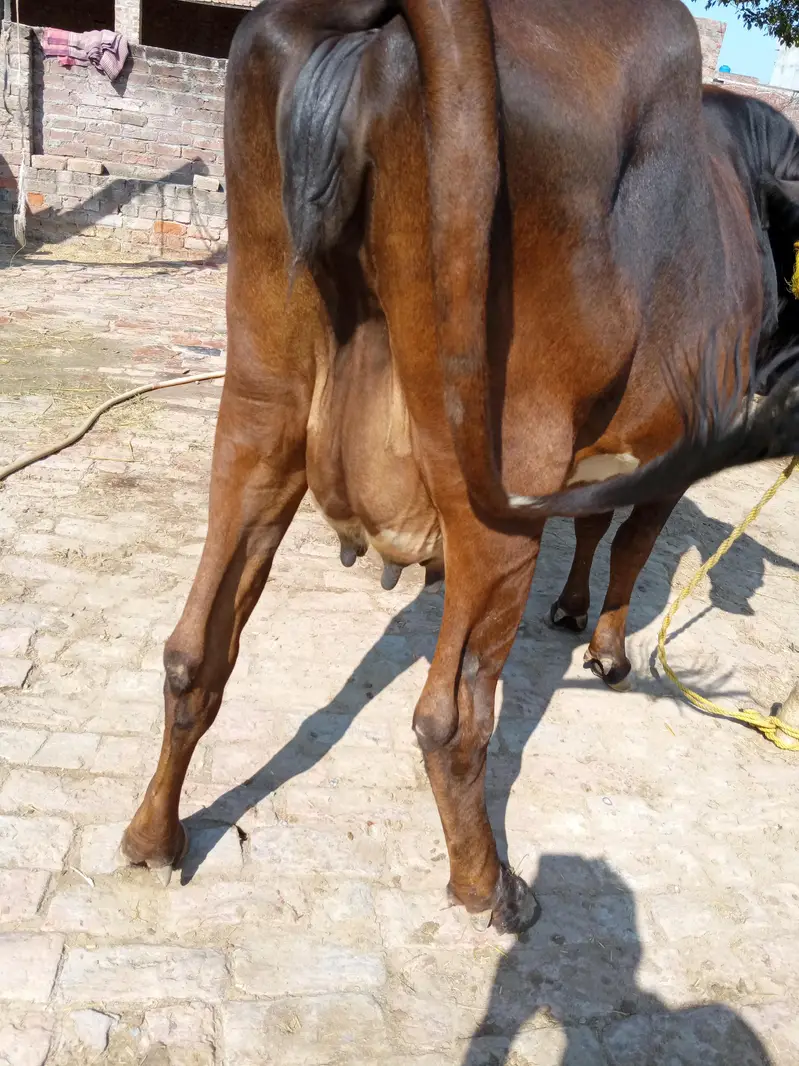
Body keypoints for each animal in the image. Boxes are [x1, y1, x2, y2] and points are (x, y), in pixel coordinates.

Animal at [119, 0, 799, 935]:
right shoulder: (667, 452)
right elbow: (627, 546)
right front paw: (607, 651)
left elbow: (594, 525)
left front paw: (570, 609)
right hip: (502, 474)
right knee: (450, 719)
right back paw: (489, 888)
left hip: (261, 399)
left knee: (194, 652)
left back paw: (154, 837)